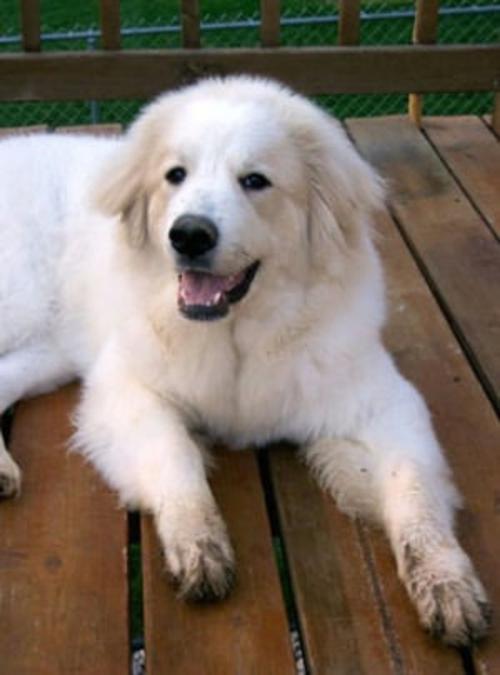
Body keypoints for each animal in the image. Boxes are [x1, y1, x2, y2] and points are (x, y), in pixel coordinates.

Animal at [0, 76, 492, 648]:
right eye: (175, 175)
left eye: (255, 181)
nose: (189, 234)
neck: (236, 338)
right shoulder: (126, 393)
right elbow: (177, 458)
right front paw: (199, 543)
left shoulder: (384, 404)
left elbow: (413, 491)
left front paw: (446, 584)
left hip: (49, 351)